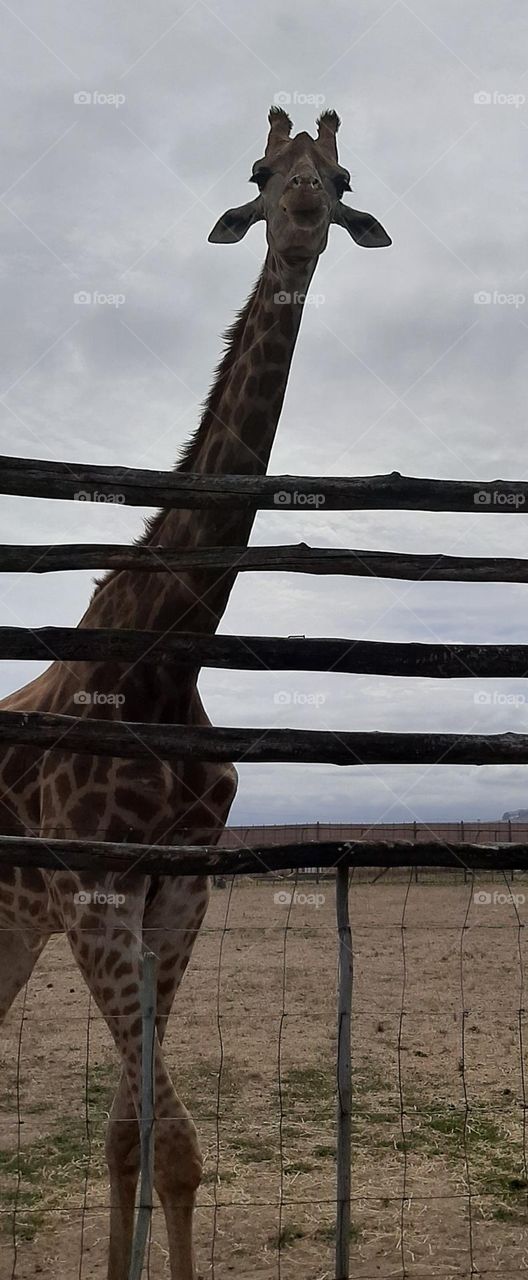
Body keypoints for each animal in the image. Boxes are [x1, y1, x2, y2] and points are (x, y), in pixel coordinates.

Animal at [0, 108, 390, 1279]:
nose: (302, 213)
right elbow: (165, 1135)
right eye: (261, 171)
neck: (167, 662)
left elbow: (142, 1139)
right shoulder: (96, 895)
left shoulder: (178, 896)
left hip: (15, 923)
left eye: (340, 176)